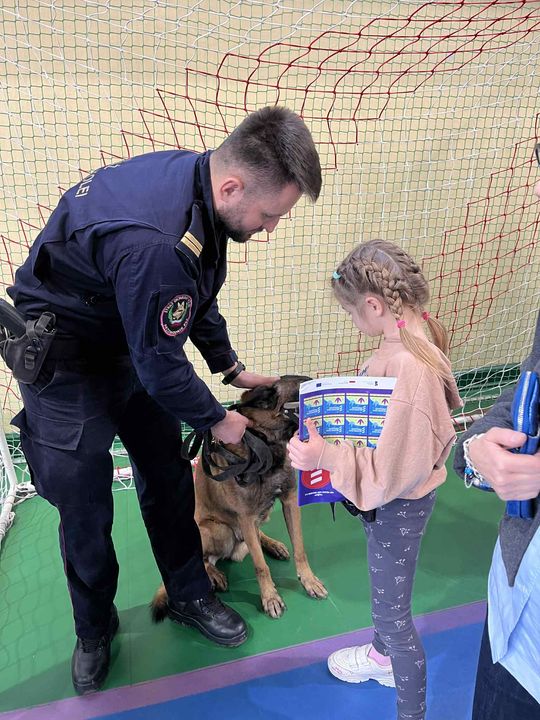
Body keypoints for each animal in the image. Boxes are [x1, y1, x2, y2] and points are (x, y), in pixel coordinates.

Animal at [151, 375, 328, 619]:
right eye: (303, 385)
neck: (266, 444)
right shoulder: (246, 517)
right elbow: (261, 566)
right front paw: (270, 597)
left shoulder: (290, 502)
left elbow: (300, 548)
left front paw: (308, 580)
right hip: (219, 530)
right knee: (205, 559)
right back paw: (215, 575)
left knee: (256, 536)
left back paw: (272, 544)